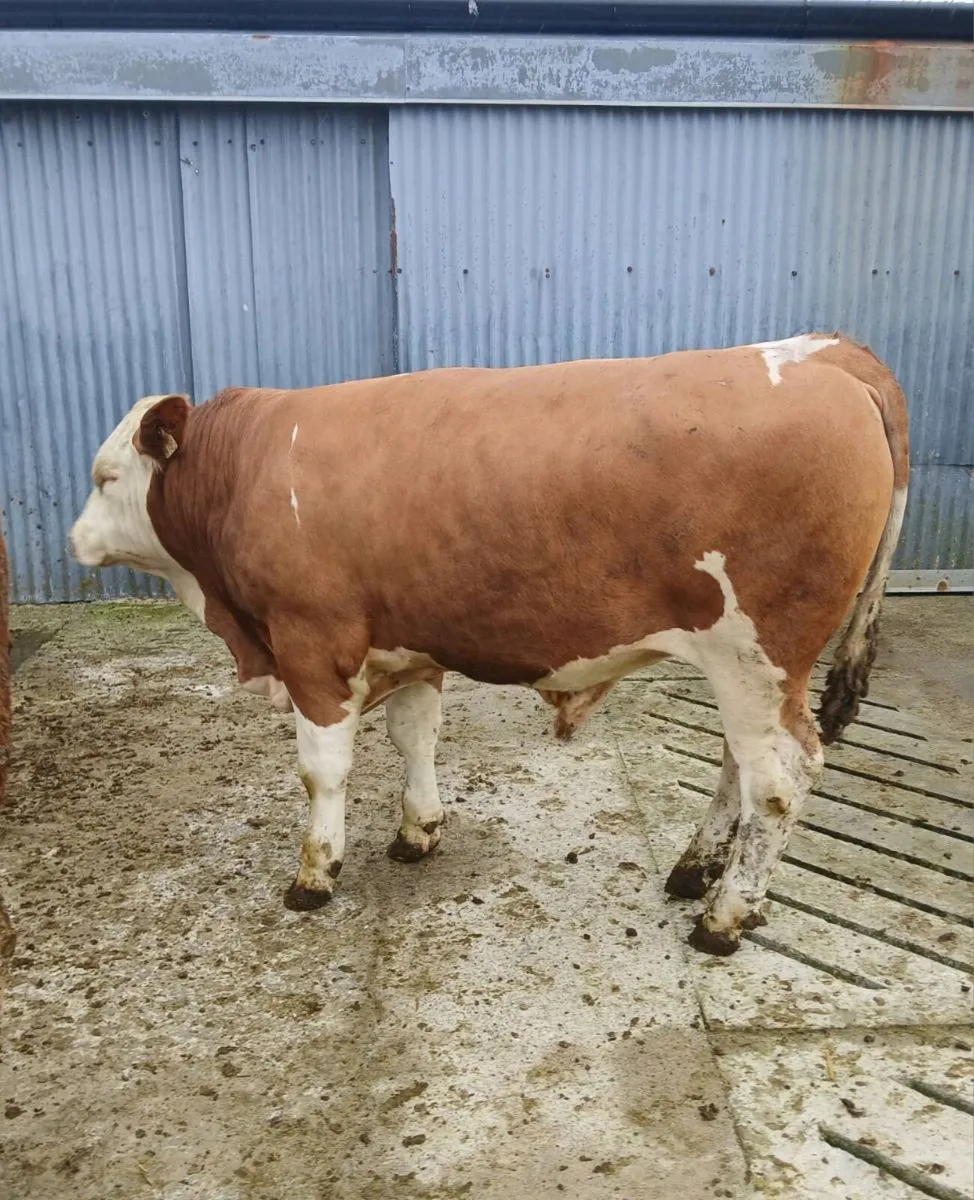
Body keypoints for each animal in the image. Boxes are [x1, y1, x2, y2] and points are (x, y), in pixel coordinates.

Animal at [69, 333, 909, 955]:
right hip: (748, 670)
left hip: (758, 657)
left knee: (779, 782)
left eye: (106, 476)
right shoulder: (409, 645)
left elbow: (322, 771)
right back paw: (694, 869)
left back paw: (724, 917)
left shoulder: (311, 645)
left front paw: (315, 875)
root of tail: (827, 354)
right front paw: (418, 831)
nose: (74, 539)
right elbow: (415, 737)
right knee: (740, 765)